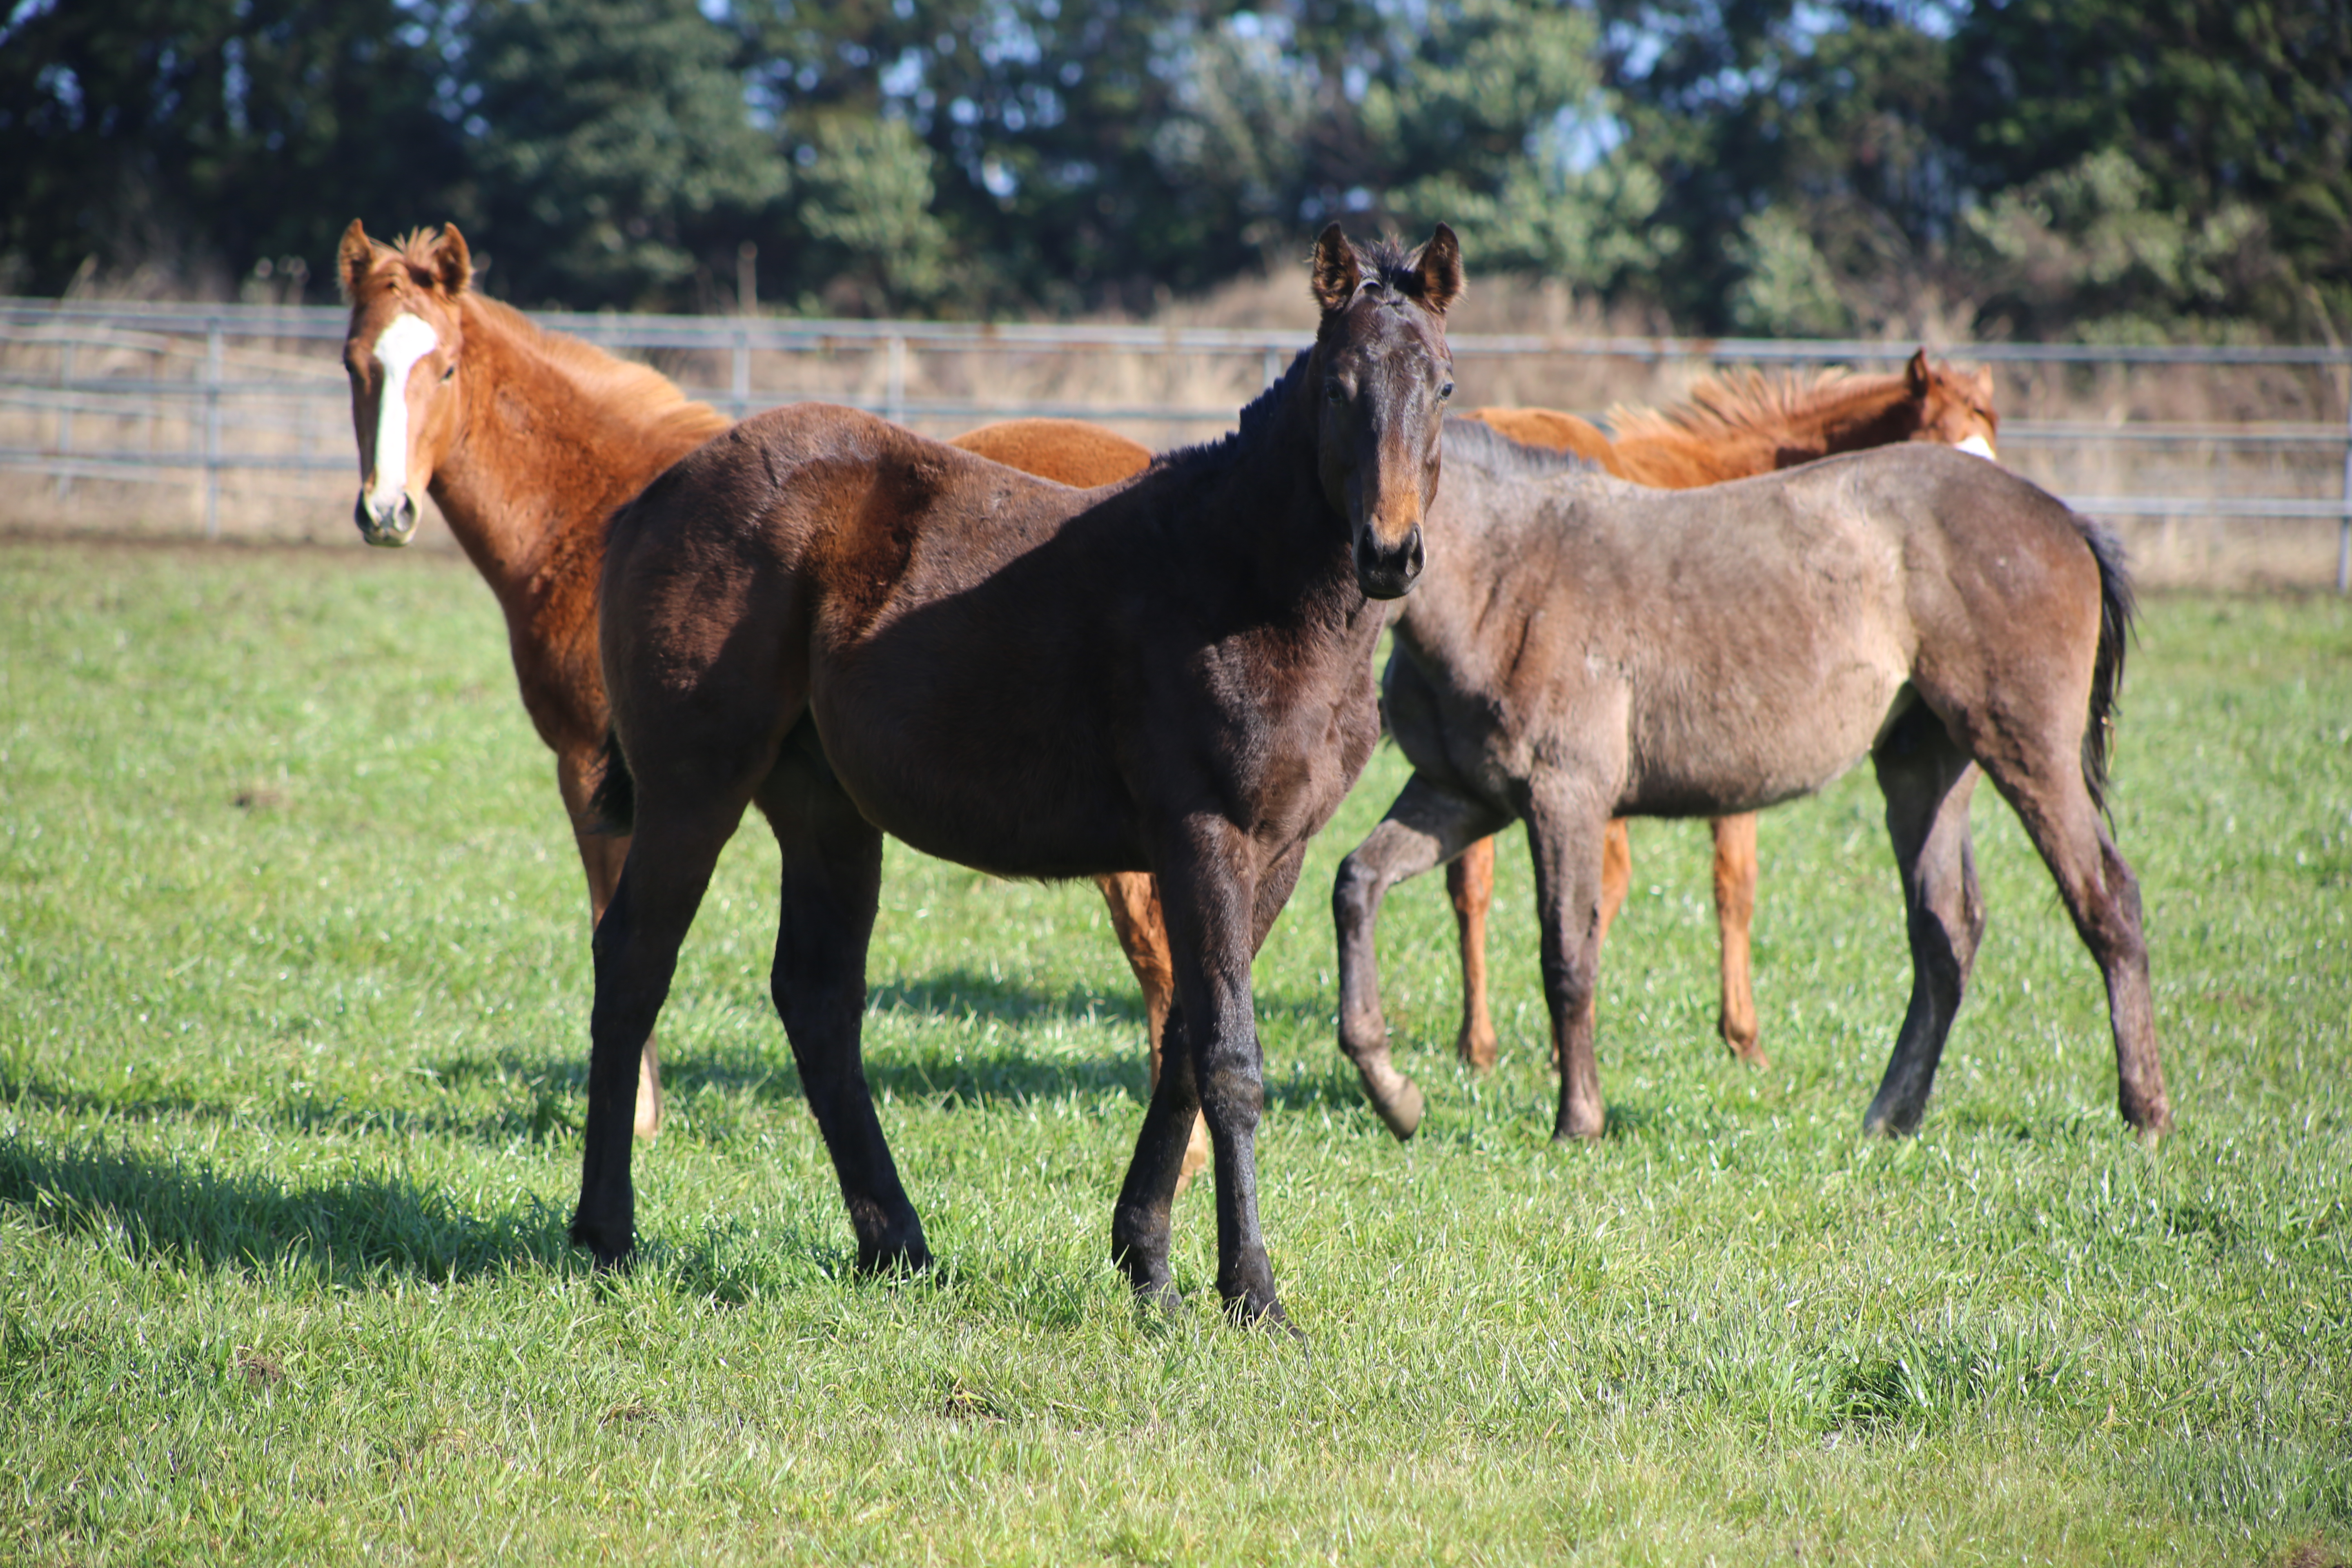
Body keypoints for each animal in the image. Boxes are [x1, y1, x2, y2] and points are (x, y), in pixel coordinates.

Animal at [332, 217, 1195, 1175]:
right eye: (355, 363)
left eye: (444, 368)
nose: (386, 513)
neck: (597, 521)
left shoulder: (596, 769)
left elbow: (613, 919)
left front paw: (636, 1116)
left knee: (1160, 951)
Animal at [569, 221, 1449, 1335]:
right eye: (1337, 388)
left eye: (1445, 386)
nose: (1390, 553)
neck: (1237, 581)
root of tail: (656, 492)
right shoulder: (1200, 834)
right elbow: (1228, 1060)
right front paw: (1251, 1292)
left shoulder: (1274, 851)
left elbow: (1183, 1045)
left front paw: (1145, 1261)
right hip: (695, 791)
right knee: (636, 964)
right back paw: (606, 1233)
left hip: (824, 810)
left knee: (816, 997)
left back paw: (895, 1244)